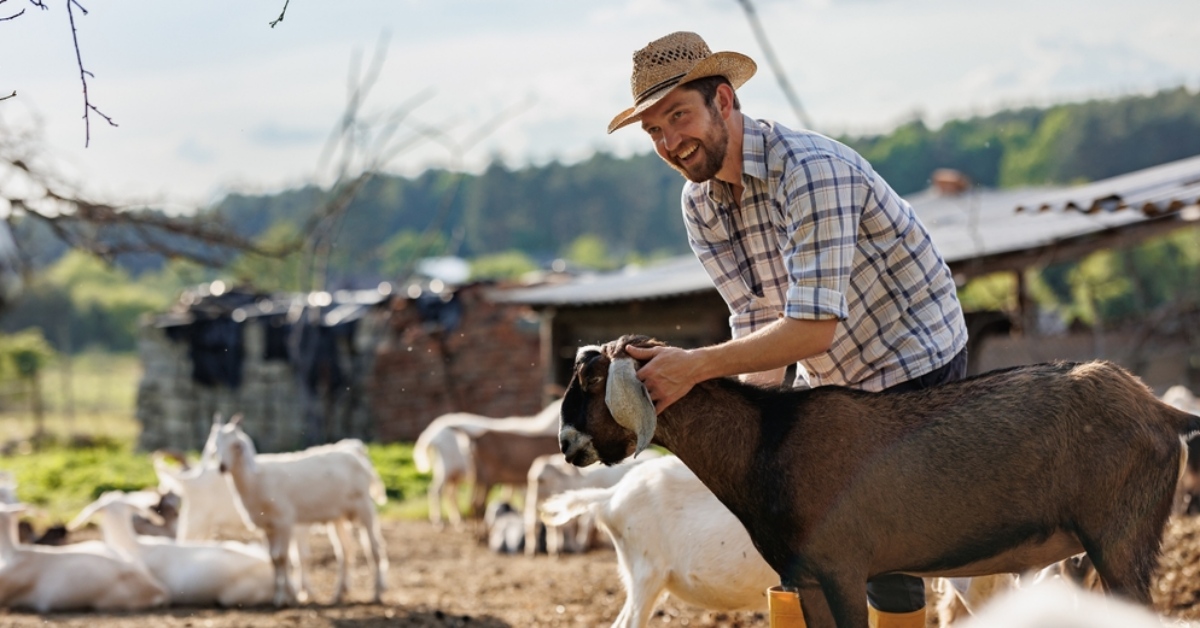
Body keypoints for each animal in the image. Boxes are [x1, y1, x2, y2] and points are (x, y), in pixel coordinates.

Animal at [211, 420, 388, 607]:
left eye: (236, 445)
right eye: (216, 444)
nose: (222, 467)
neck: (255, 479)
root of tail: (356, 453)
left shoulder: (285, 521)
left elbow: (282, 557)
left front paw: (283, 599)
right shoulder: (267, 526)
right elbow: (273, 559)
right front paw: (278, 595)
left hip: (364, 506)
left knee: (375, 548)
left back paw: (378, 593)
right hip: (338, 516)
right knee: (346, 550)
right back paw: (340, 593)